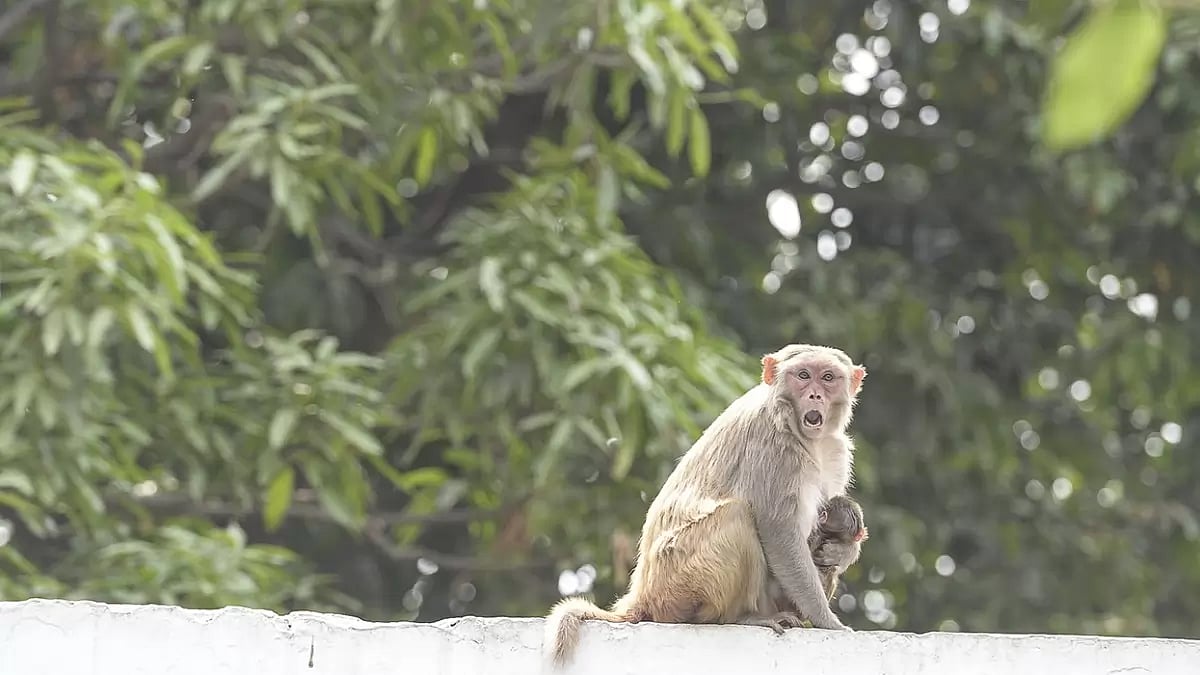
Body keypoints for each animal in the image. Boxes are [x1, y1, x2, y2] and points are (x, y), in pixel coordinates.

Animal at [544, 344, 867, 666]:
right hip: (676, 583)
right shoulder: (773, 445)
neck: (808, 438)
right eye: (803, 375)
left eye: (828, 378)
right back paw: (740, 617)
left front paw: (843, 550)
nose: (815, 395)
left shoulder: (836, 451)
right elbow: (779, 532)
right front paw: (828, 622)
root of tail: (641, 595)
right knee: (737, 515)